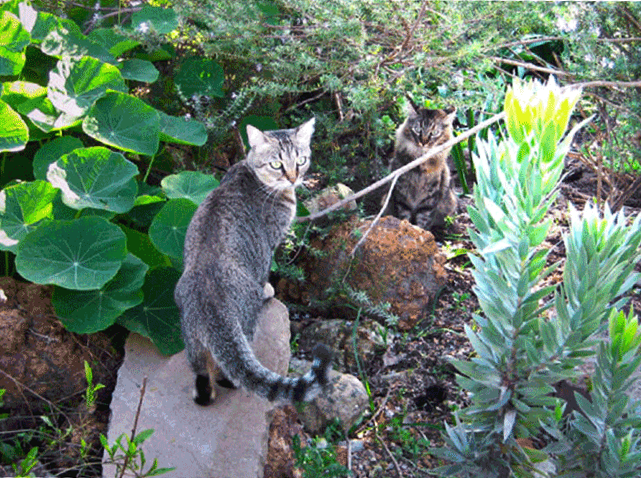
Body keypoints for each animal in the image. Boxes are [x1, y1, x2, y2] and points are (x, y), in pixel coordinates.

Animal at [175, 117, 336, 406]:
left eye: (301, 160)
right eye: (276, 164)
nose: (293, 178)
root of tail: (211, 309)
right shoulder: (269, 243)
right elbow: (266, 271)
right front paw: (269, 288)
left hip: (191, 339)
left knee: (203, 378)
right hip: (246, 322)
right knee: (230, 375)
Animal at [382, 97, 458, 230]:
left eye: (434, 132)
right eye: (418, 130)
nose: (423, 142)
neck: (420, 168)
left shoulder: (430, 199)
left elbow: (424, 220)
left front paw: (421, 231)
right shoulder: (402, 195)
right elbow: (404, 216)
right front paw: (406, 227)